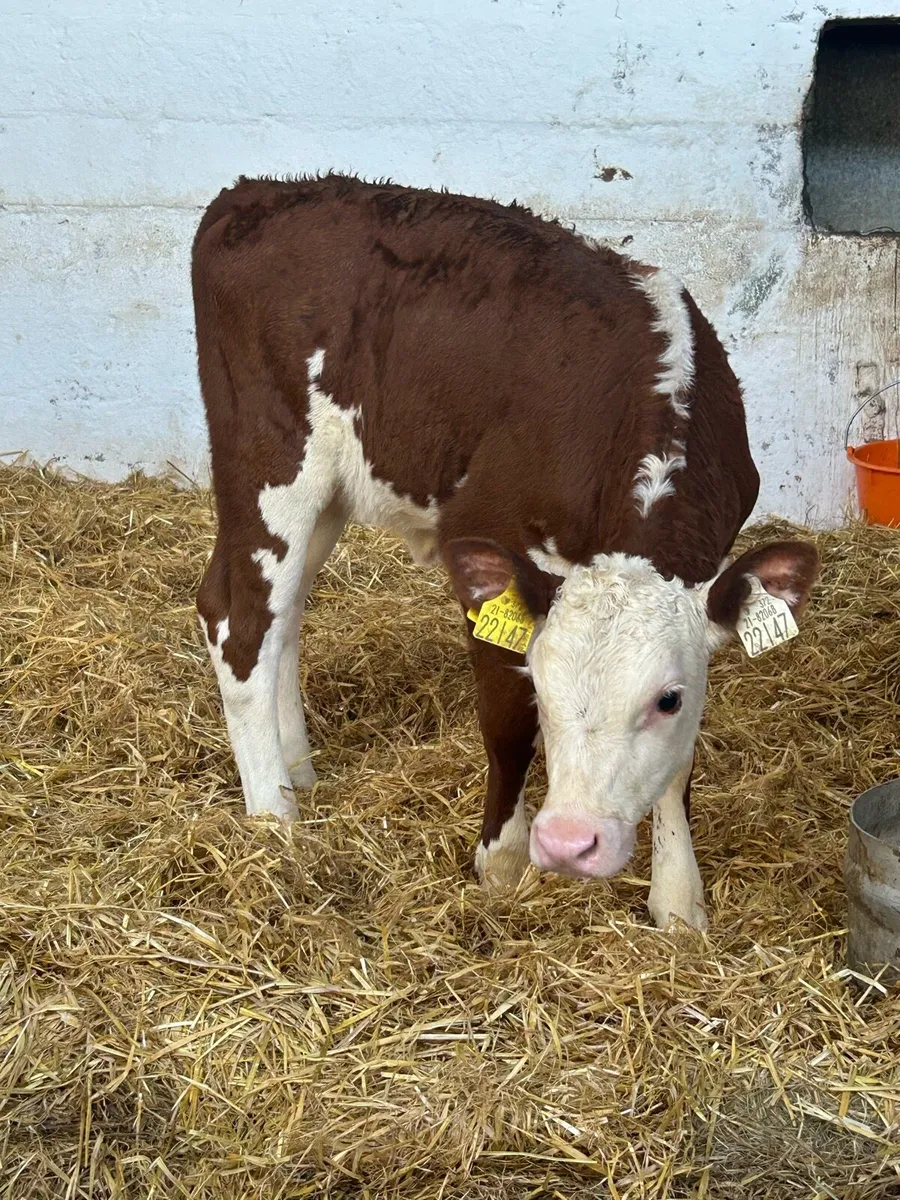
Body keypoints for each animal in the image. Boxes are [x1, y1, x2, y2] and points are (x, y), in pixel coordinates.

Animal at [192, 173, 818, 930]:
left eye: (667, 699)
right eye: (543, 687)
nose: (571, 842)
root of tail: (255, 191)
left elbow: (679, 762)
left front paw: (678, 903)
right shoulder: (486, 531)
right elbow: (507, 722)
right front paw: (504, 861)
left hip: (331, 493)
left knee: (282, 619)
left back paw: (298, 772)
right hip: (269, 463)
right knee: (239, 620)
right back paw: (273, 820)